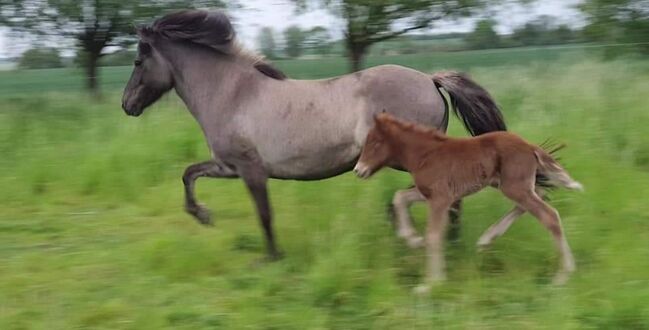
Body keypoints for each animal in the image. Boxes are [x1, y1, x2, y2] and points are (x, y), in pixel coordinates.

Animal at [120, 9, 506, 258]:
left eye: (138, 62)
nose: (127, 105)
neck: (232, 93)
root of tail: (430, 79)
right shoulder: (228, 166)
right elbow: (189, 174)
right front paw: (202, 215)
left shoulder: (250, 169)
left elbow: (264, 213)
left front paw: (272, 256)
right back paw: (448, 241)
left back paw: (441, 241)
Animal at [354, 113, 584, 292]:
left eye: (375, 143)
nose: (359, 170)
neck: (424, 153)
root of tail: (530, 146)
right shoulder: (433, 194)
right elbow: (400, 197)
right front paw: (412, 239)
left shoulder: (440, 198)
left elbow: (434, 235)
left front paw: (431, 283)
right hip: (510, 184)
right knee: (541, 194)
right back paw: (487, 239)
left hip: (514, 187)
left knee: (549, 215)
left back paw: (562, 276)